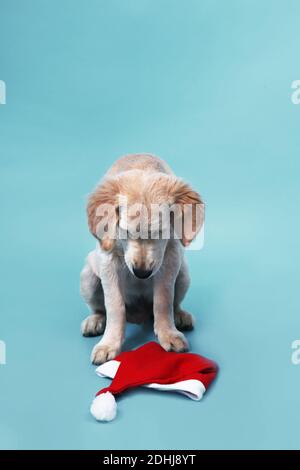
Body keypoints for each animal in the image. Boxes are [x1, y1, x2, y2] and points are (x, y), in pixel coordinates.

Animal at [81, 152, 205, 366]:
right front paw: (109, 344)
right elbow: (114, 306)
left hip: (183, 275)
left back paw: (180, 316)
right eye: (125, 232)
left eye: (161, 231)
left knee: (174, 303)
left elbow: (163, 301)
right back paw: (95, 320)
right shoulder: (108, 261)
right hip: (88, 278)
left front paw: (168, 334)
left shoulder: (170, 257)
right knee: (100, 308)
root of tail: (138, 316)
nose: (142, 273)